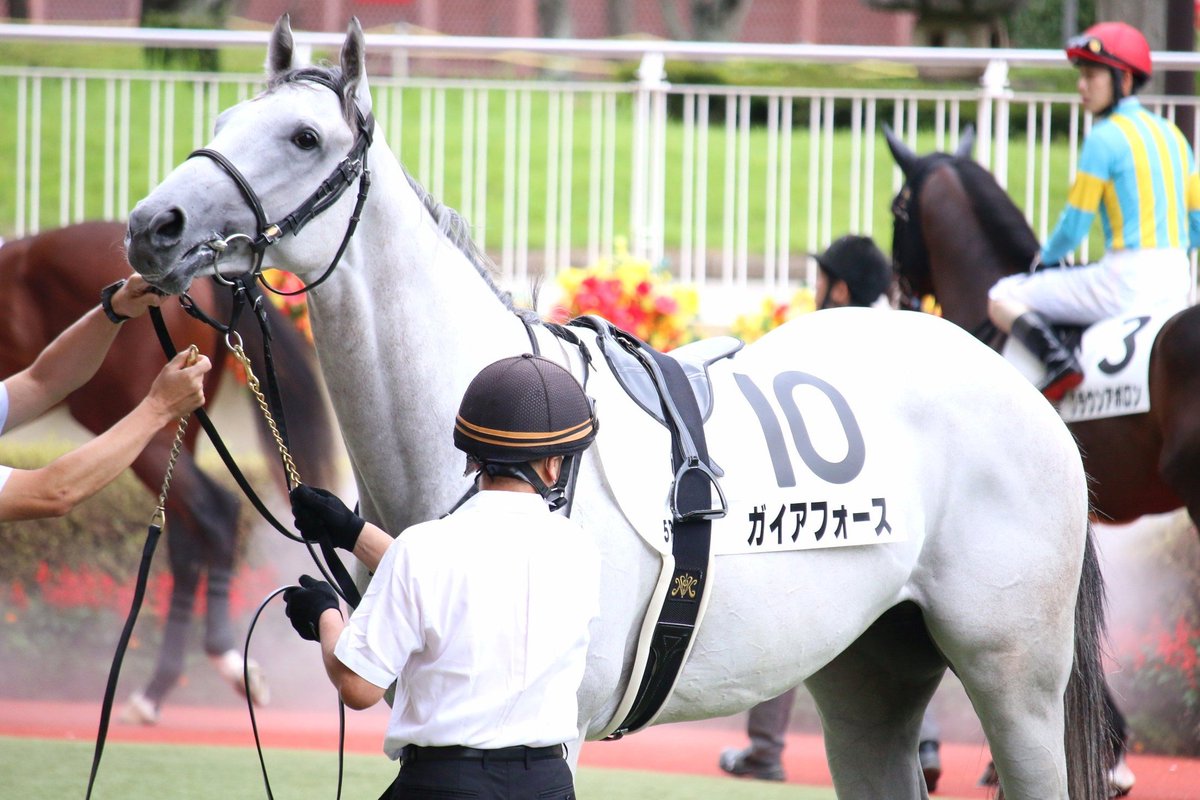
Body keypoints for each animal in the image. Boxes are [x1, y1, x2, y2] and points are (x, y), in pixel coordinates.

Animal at [0, 219, 337, 720]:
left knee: (214, 512)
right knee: (186, 534)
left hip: (130, 422)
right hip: (180, 429)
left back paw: (223, 661)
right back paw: (159, 687)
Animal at [121, 17, 1110, 799]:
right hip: (871, 677)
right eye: (222, 124)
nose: (151, 226)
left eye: (302, 136)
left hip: (1015, 678)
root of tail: (1018, 389)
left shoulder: (552, 726)